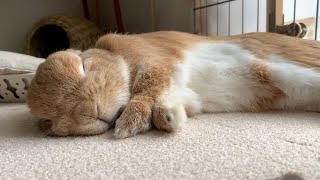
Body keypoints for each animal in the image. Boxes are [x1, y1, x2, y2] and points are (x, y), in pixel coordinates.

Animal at [26, 31, 320, 139]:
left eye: (83, 65)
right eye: (48, 119)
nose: (91, 113)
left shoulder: (156, 63)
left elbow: (148, 88)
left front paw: (128, 126)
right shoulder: (185, 93)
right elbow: (174, 102)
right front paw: (170, 118)